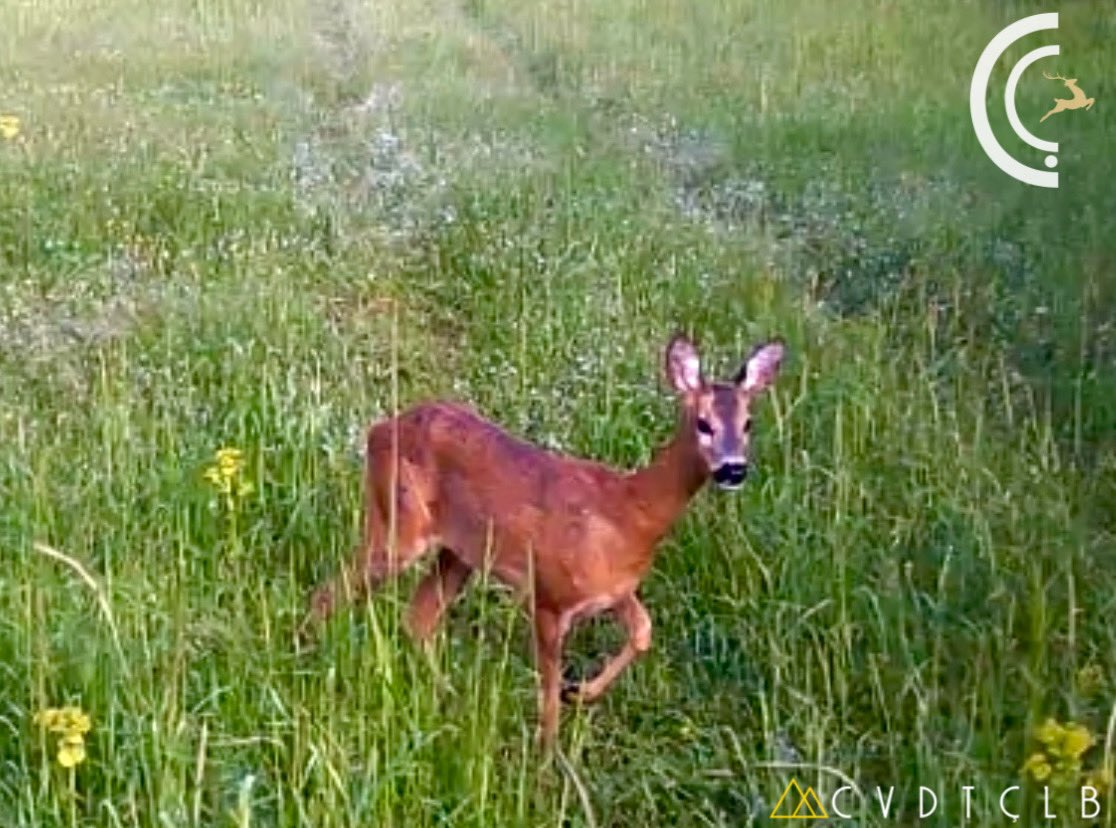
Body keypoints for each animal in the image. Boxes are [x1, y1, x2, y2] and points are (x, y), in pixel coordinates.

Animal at [297, 333, 786, 749]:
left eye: (748, 423)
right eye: (703, 423)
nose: (734, 469)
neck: (630, 513)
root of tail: (378, 429)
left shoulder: (613, 590)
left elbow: (643, 631)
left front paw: (581, 692)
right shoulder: (549, 594)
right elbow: (548, 698)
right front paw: (548, 764)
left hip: (459, 552)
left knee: (417, 618)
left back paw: (445, 695)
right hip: (399, 526)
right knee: (333, 590)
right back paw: (304, 648)